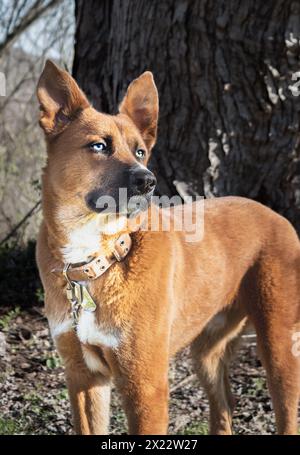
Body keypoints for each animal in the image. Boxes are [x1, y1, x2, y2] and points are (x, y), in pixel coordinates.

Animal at [35, 60, 300, 434]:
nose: (147, 180)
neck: (98, 257)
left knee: (286, 411)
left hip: (279, 344)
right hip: (207, 352)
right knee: (224, 409)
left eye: (140, 151)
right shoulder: (83, 379)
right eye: (99, 146)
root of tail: (276, 215)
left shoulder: (145, 386)